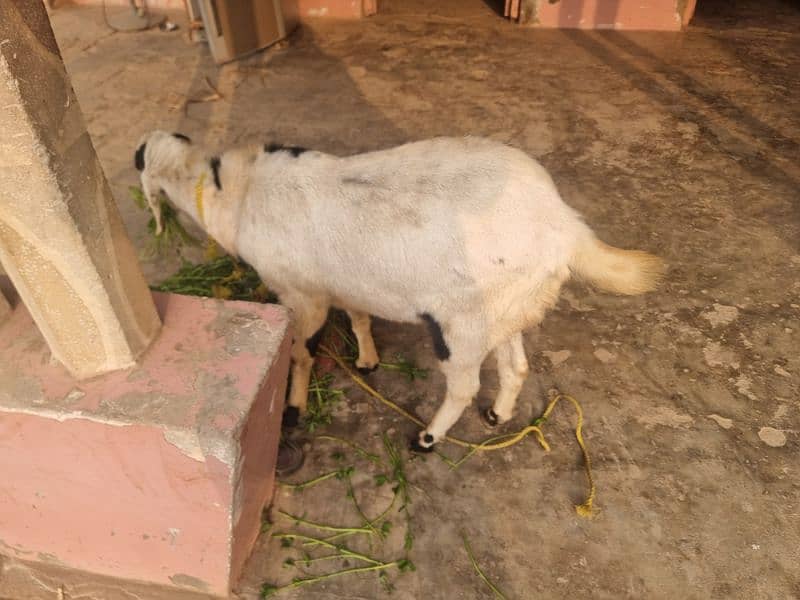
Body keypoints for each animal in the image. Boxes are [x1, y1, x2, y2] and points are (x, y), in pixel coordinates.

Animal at [134, 131, 664, 450]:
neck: (235, 191)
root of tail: (564, 226)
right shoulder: (342, 285)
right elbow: (359, 315)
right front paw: (368, 358)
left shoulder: (302, 297)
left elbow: (301, 352)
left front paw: (294, 406)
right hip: (508, 306)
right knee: (515, 365)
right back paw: (498, 414)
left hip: (462, 325)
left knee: (464, 384)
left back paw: (428, 438)